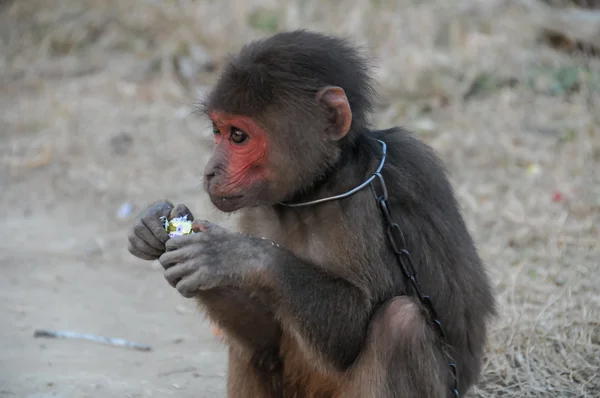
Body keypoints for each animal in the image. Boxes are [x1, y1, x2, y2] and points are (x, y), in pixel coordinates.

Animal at [127, 29, 496, 396]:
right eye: (218, 131)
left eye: (238, 136)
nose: (209, 172)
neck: (317, 188)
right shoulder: (261, 209)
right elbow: (265, 339)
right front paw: (153, 231)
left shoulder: (374, 198)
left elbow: (350, 333)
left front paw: (231, 255)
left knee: (401, 323)